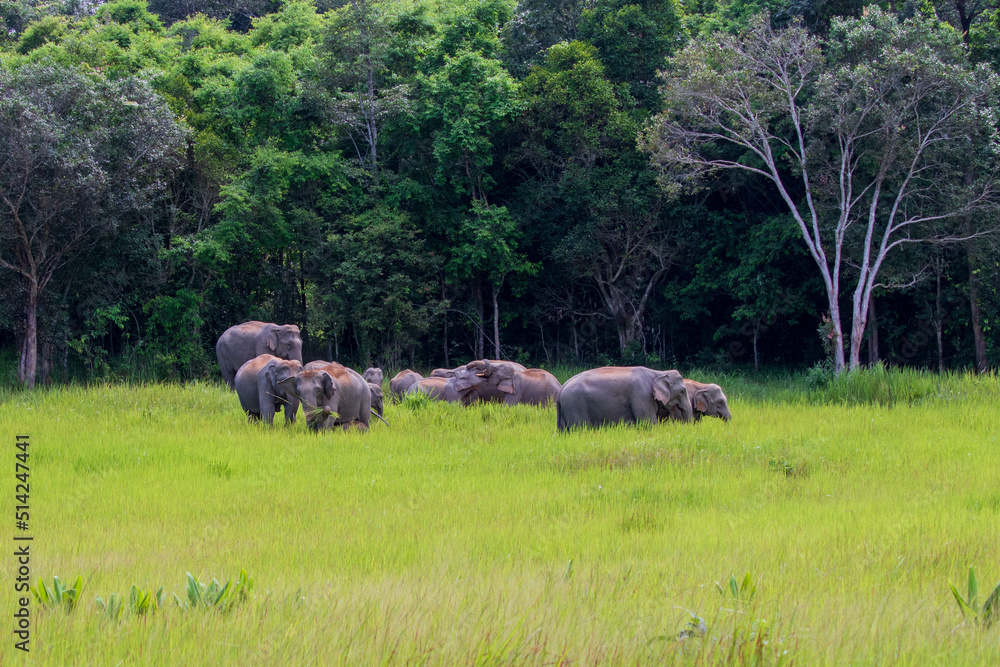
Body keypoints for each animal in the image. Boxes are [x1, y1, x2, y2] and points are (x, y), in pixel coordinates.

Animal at [556, 366, 693, 431]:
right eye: (682, 391)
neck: (658, 373)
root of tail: (562, 388)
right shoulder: (642, 396)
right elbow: (648, 424)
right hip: (575, 405)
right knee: (579, 429)